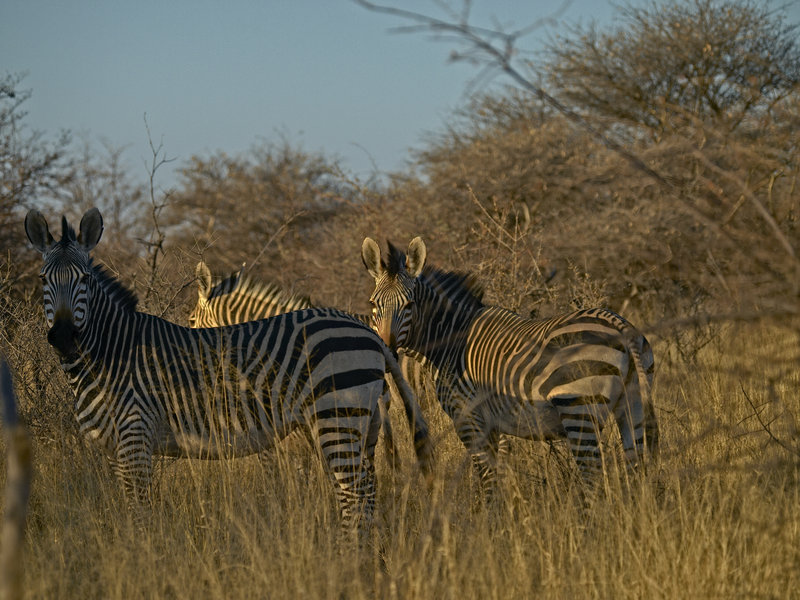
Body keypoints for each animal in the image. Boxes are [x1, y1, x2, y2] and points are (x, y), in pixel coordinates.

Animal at [23, 207, 433, 541]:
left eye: (84, 281)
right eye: (43, 280)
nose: (63, 337)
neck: (111, 352)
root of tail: (367, 331)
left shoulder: (135, 440)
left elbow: (140, 518)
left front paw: (145, 562)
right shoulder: (113, 449)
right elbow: (127, 517)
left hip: (338, 417)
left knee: (354, 497)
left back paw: (348, 564)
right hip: (363, 424)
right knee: (368, 493)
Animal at [361, 236, 658, 500]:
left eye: (410, 304)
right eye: (374, 304)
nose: (387, 349)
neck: (451, 339)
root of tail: (620, 326)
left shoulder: (469, 418)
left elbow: (487, 479)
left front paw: (489, 523)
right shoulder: (493, 425)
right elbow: (499, 476)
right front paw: (508, 517)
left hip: (579, 409)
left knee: (592, 478)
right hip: (632, 406)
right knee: (637, 470)